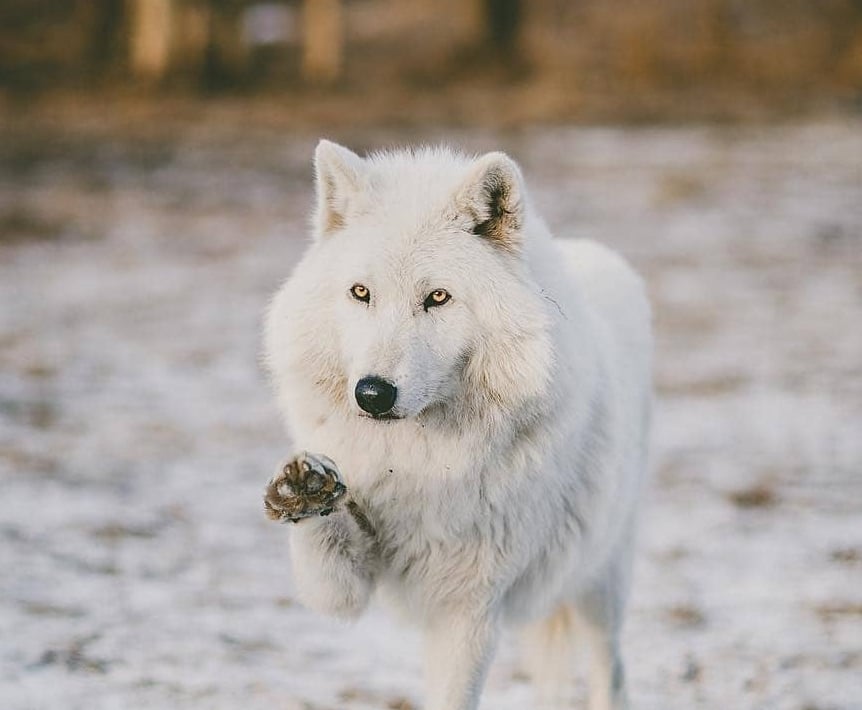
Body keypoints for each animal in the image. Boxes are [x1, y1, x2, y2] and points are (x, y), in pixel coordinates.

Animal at [264, 140, 656, 710]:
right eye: (360, 293)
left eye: (438, 297)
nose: (373, 393)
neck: (417, 467)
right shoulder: (346, 586)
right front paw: (304, 490)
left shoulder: (467, 609)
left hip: (599, 580)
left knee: (612, 672)